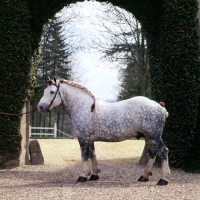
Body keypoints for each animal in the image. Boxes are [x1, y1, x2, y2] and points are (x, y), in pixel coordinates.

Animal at [37, 77, 170, 185]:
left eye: (52, 92)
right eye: (44, 91)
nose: (40, 107)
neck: (82, 106)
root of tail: (159, 107)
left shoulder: (83, 137)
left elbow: (84, 156)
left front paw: (83, 176)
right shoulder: (90, 139)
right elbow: (92, 154)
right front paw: (94, 175)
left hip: (154, 136)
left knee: (163, 152)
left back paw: (163, 179)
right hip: (150, 137)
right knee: (152, 154)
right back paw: (144, 176)